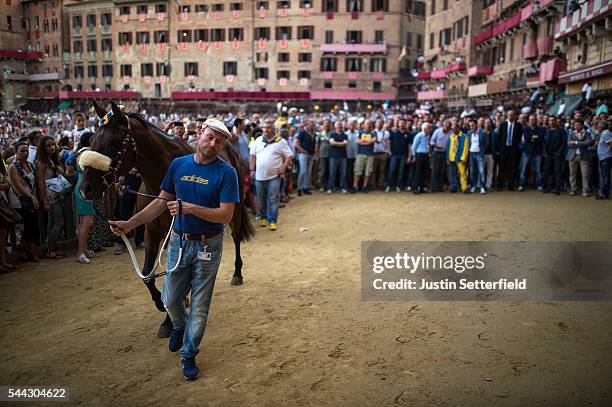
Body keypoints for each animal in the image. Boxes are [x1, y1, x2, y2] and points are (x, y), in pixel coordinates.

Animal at [80, 102, 255, 338]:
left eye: (114, 141)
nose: (85, 188)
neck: (161, 182)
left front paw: (169, 317)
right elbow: (147, 274)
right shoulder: (152, 231)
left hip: (234, 210)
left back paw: (237, 273)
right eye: (91, 140)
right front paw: (161, 306)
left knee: (236, 237)